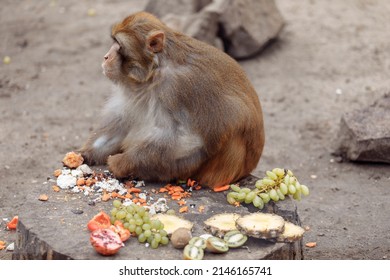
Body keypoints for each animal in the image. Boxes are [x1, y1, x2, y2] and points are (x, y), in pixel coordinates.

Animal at [80, 11, 266, 188]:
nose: (106, 57)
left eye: (119, 45)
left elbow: (189, 140)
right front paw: (86, 153)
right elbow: (123, 118)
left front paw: (121, 163)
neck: (154, 71)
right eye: (114, 42)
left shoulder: (177, 87)